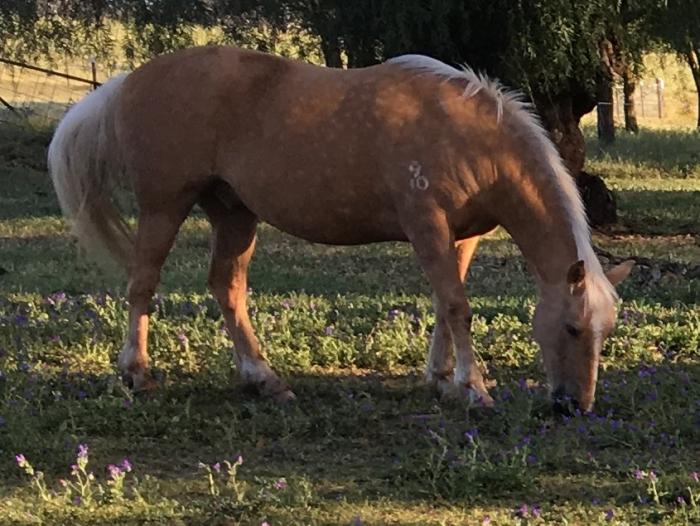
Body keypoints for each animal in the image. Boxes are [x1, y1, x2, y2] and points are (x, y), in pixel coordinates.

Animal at [48, 46, 633, 411]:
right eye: (572, 328)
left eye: (605, 331)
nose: (575, 406)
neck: (473, 135)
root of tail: (128, 80)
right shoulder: (427, 226)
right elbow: (458, 306)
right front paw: (474, 389)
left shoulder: (464, 236)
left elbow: (447, 307)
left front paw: (441, 380)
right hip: (164, 205)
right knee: (142, 285)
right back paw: (139, 375)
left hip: (234, 213)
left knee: (226, 287)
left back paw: (265, 381)